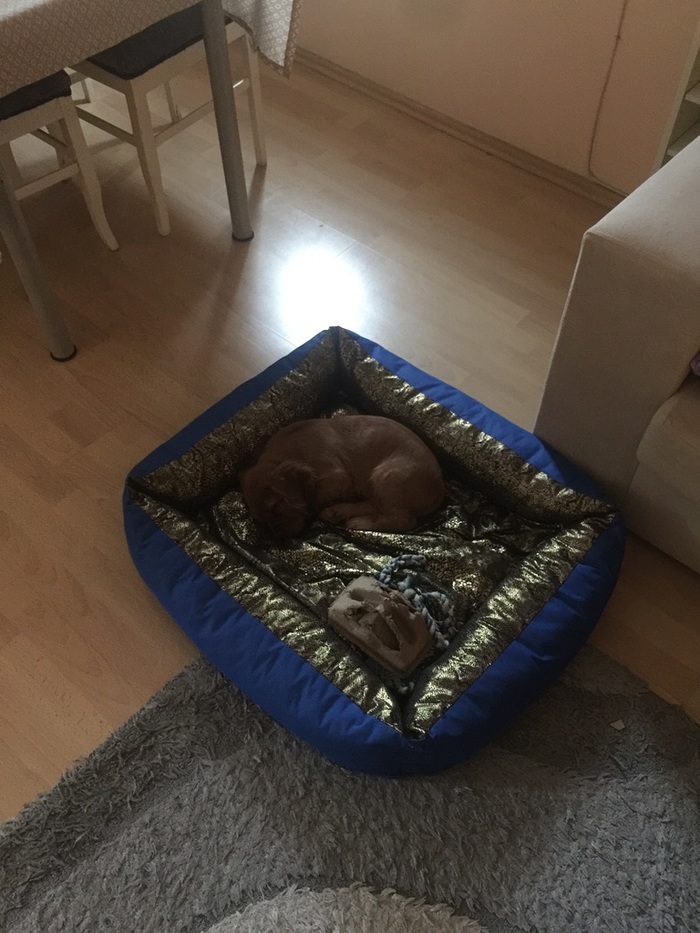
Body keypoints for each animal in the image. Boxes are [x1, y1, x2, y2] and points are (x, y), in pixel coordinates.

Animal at [239, 415, 445, 538]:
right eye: (260, 520)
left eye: (275, 506)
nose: (278, 536)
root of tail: (440, 490)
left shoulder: (338, 478)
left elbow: (314, 499)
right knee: (376, 507)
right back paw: (338, 512)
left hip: (386, 476)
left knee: (400, 520)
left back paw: (357, 522)